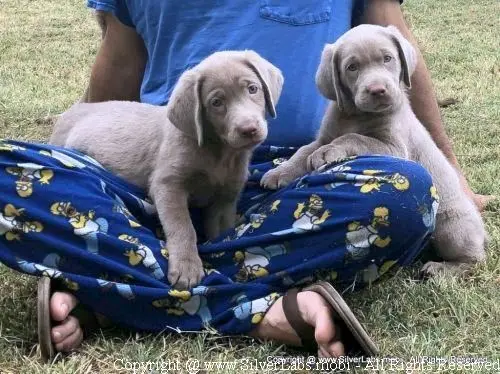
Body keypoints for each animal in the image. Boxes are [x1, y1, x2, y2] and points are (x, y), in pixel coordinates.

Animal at [53, 50, 286, 290]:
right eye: (216, 103)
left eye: (252, 89)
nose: (249, 129)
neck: (219, 154)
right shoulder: (168, 185)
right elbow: (183, 226)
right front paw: (187, 266)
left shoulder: (225, 197)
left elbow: (221, 231)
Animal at [264, 22, 486, 274]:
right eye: (352, 67)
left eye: (387, 58)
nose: (378, 90)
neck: (356, 115)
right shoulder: (323, 136)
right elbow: (303, 151)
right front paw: (279, 173)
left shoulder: (395, 147)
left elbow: (355, 137)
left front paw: (328, 152)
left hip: (451, 227)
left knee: (474, 260)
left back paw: (441, 269)